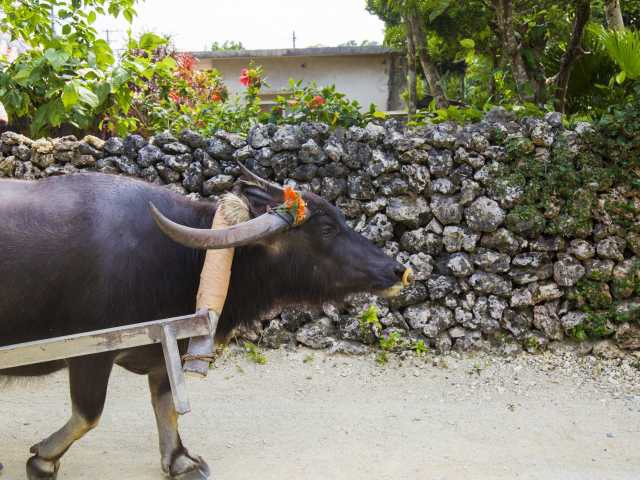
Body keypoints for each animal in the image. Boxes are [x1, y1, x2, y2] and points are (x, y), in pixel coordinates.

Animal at [0, 169, 410, 480]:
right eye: (326, 229)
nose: (398, 270)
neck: (181, 257)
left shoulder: (168, 343)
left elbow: (165, 403)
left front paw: (180, 461)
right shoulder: (91, 353)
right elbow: (88, 414)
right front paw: (43, 459)